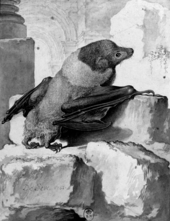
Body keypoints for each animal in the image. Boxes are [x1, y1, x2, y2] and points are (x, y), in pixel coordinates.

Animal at [1, 39, 154, 151]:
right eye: (117, 54)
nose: (131, 50)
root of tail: (33, 129)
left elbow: (47, 79)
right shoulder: (90, 92)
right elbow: (128, 89)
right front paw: (142, 91)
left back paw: (26, 141)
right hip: (53, 129)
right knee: (48, 138)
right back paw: (52, 146)